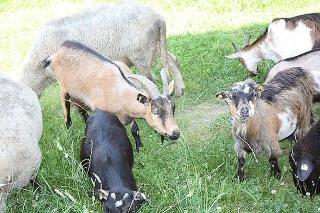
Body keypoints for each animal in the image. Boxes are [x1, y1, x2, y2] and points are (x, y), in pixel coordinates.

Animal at [18, 1, 185, 96]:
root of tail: (158, 18)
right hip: (155, 45)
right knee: (173, 60)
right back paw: (180, 90)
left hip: (141, 53)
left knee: (149, 79)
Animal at [45, 40, 180, 147]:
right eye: (155, 111)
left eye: (173, 108)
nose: (176, 133)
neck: (121, 92)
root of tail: (57, 53)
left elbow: (135, 129)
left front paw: (139, 147)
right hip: (63, 89)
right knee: (67, 113)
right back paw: (69, 132)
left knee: (81, 110)